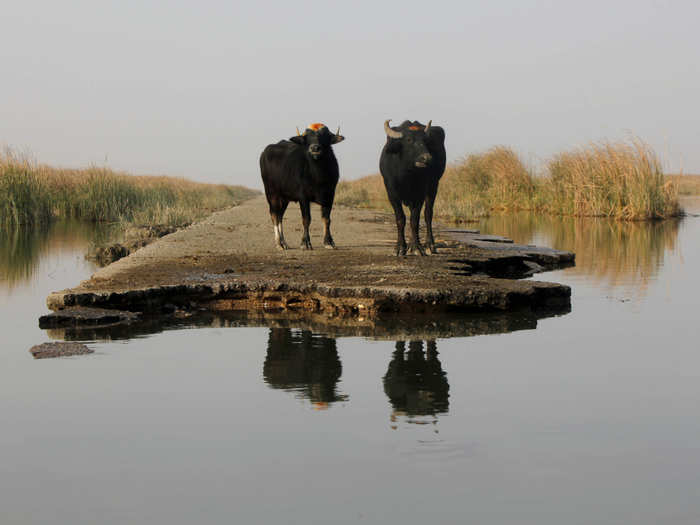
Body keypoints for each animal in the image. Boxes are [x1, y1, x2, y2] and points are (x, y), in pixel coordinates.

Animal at [380, 121, 446, 256]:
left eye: (425, 140)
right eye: (409, 140)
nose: (427, 158)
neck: (406, 174)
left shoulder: (419, 194)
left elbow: (414, 220)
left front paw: (417, 247)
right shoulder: (391, 192)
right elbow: (400, 218)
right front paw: (400, 247)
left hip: (433, 185)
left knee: (428, 214)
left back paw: (429, 245)